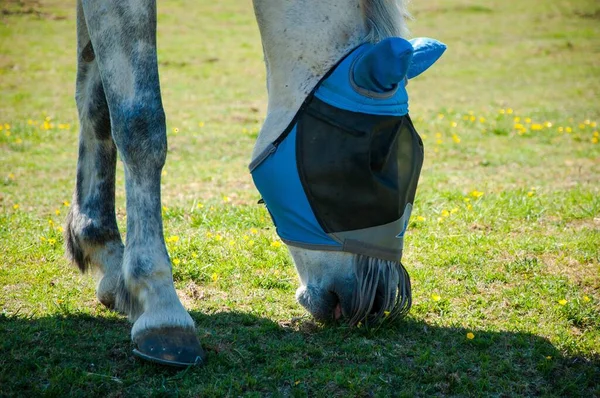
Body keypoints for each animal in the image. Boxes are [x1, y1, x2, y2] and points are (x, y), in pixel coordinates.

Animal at [65, 0, 422, 366]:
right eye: (357, 171)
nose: (375, 303)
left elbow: (96, 104)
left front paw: (104, 254)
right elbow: (139, 123)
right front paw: (159, 304)